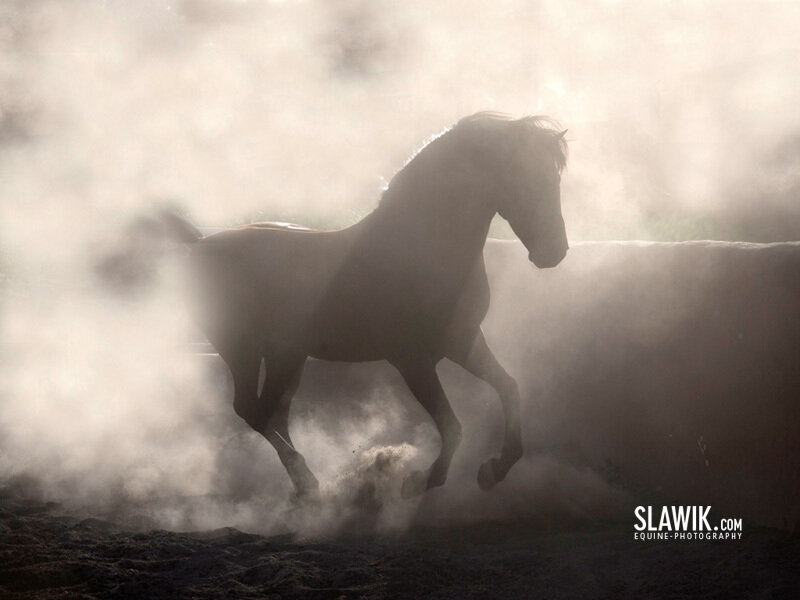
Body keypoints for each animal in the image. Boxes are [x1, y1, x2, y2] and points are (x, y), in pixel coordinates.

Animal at [163, 112, 569, 500]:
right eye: (522, 175)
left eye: (554, 178)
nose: (555, 252)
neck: (422, 247)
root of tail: (200, 242)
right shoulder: (412, 360)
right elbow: (452, 426)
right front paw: (419, 481)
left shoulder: (463, 342)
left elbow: (509, 388)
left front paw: (494, 470)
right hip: (239, 349)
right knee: (250, 409)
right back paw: (310, 482)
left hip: (287, 355)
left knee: (273, 411)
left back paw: (306, 487)